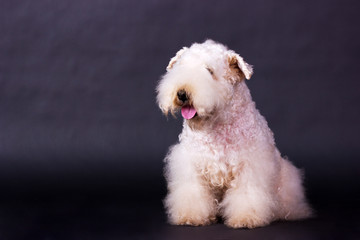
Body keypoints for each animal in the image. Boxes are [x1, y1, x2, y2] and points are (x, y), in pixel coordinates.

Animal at [156, 40, 310, 228]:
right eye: (181, 67)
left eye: (209, 70)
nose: (182, 93)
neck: (217, 125)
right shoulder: (191, 164)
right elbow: (192, 191)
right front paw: (190, 216)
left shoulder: (251, 165)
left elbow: (247, 193)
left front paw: (246, 218)